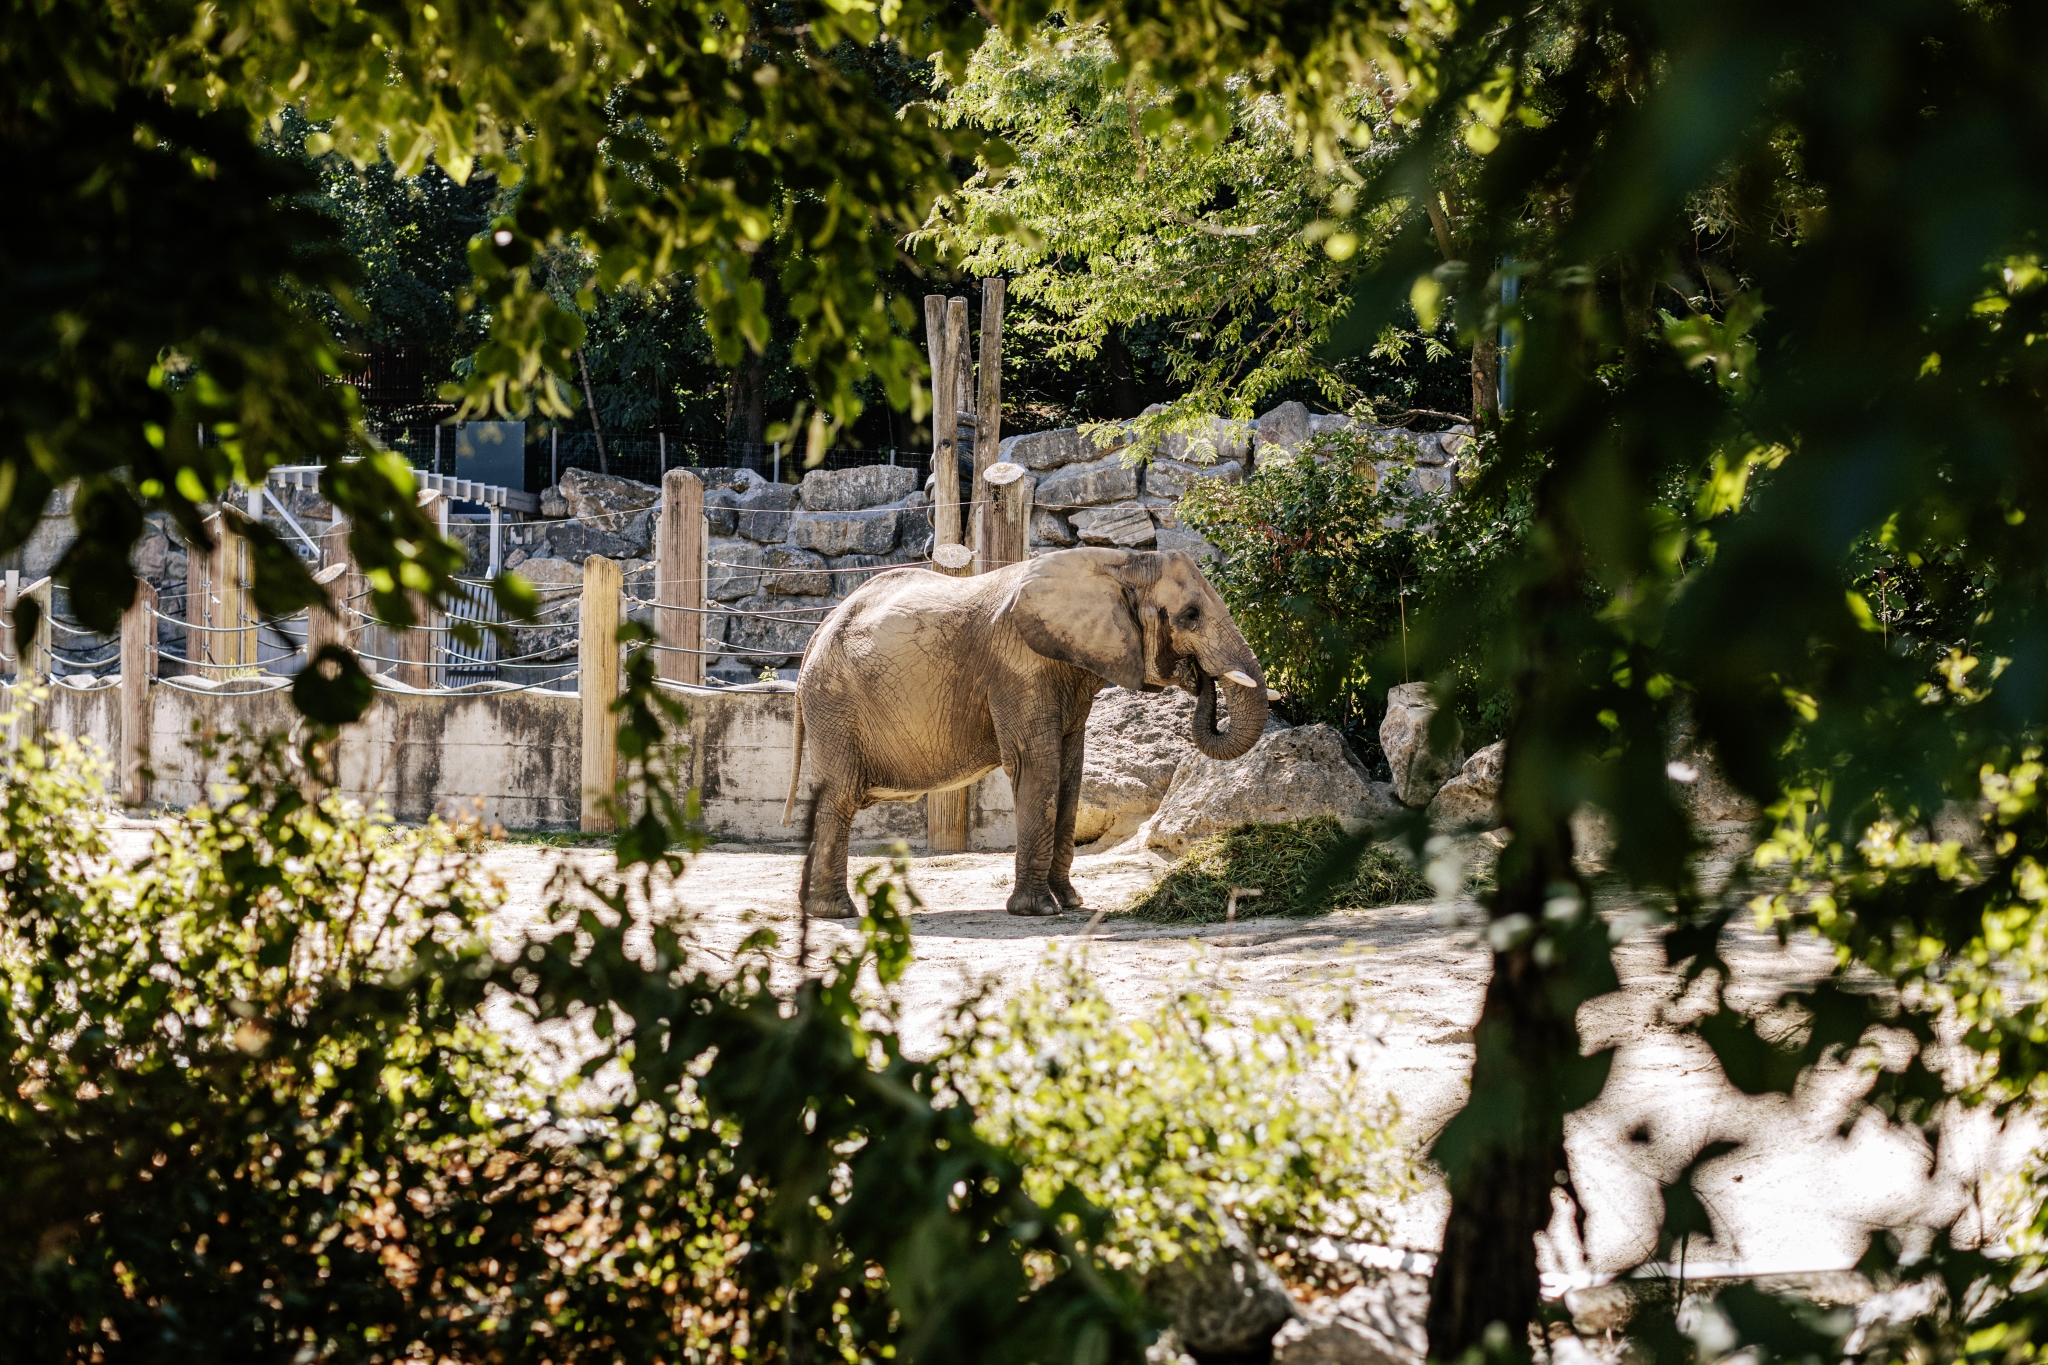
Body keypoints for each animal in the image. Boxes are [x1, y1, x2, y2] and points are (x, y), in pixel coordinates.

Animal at [778, 544, 1261, 916]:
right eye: (1191, 616)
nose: (1199, 677)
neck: (1118, 561)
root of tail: (818, 630)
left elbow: (1069, 773)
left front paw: (1071, 903)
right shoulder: (1019, 666)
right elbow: (1037, 766)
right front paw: (1040, 910)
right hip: (833, 702)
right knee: (840, 796)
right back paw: (836, 912)